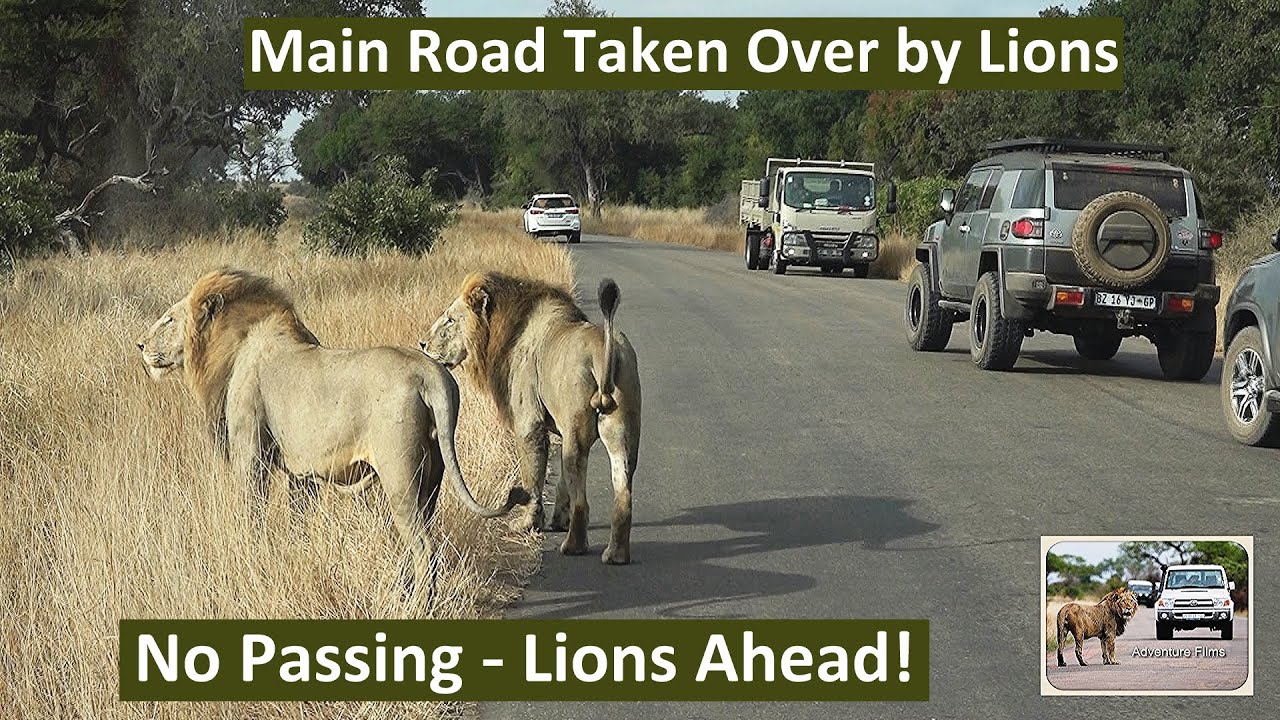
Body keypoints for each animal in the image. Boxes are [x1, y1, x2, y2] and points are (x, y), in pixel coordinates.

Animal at [135, 268, 530, 572]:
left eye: (169, 319)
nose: (139, 344)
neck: (235, 344)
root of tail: (431, 374)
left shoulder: (251, 451)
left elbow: (251, 510)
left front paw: (250, 550)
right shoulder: (301, 472)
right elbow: (297, 519)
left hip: (400, 475)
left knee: (424, 547)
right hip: (433, 475)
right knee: (422, 539)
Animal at [420, 272, 641, 565]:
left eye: (450, 320)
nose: (422, 344)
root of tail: (602, 348)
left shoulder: (528, 423)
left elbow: (532, 475)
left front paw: (527, 524)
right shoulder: (561, 430)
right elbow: (561, 483)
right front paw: (558, 520)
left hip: (578, 433)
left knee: (582, 499)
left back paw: (573, 546)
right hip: (623, 431)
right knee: (623, 492)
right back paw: (616, 554)